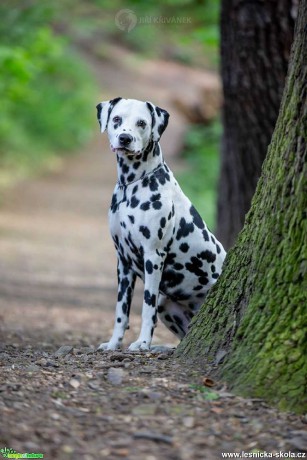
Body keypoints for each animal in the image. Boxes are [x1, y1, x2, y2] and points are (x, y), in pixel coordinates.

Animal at [96, 95, 226, 350]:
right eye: (116, 119)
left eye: (142, 123)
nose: (124, 138)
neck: (132, 186)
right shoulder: (123, 262)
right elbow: (121, 312)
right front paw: (113, 344)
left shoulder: (153, 256)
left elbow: (147, 308)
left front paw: (142, 343)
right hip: (167, 304)